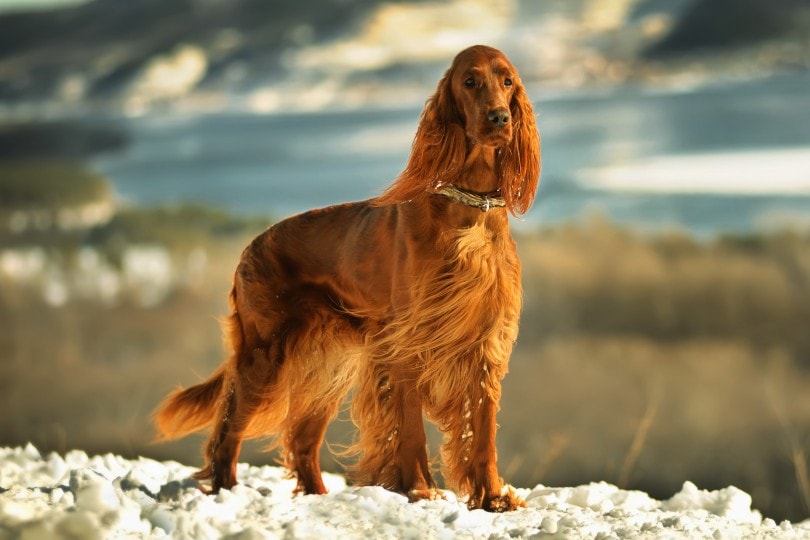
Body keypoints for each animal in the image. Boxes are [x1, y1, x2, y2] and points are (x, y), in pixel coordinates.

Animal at [155, 44, 540, 512]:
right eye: (470, 81)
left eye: (507, 81)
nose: (499, 118)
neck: (470, 210)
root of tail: (250, 247)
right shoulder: (405, 345)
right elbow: (410, 429)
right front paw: (419, 490)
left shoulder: (483, 342)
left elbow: (482, 432)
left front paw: (492, 498)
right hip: (265, 355)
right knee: (228, 428)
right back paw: (226, 491)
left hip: (326, 367)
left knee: (301, 440)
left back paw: (316, 497)